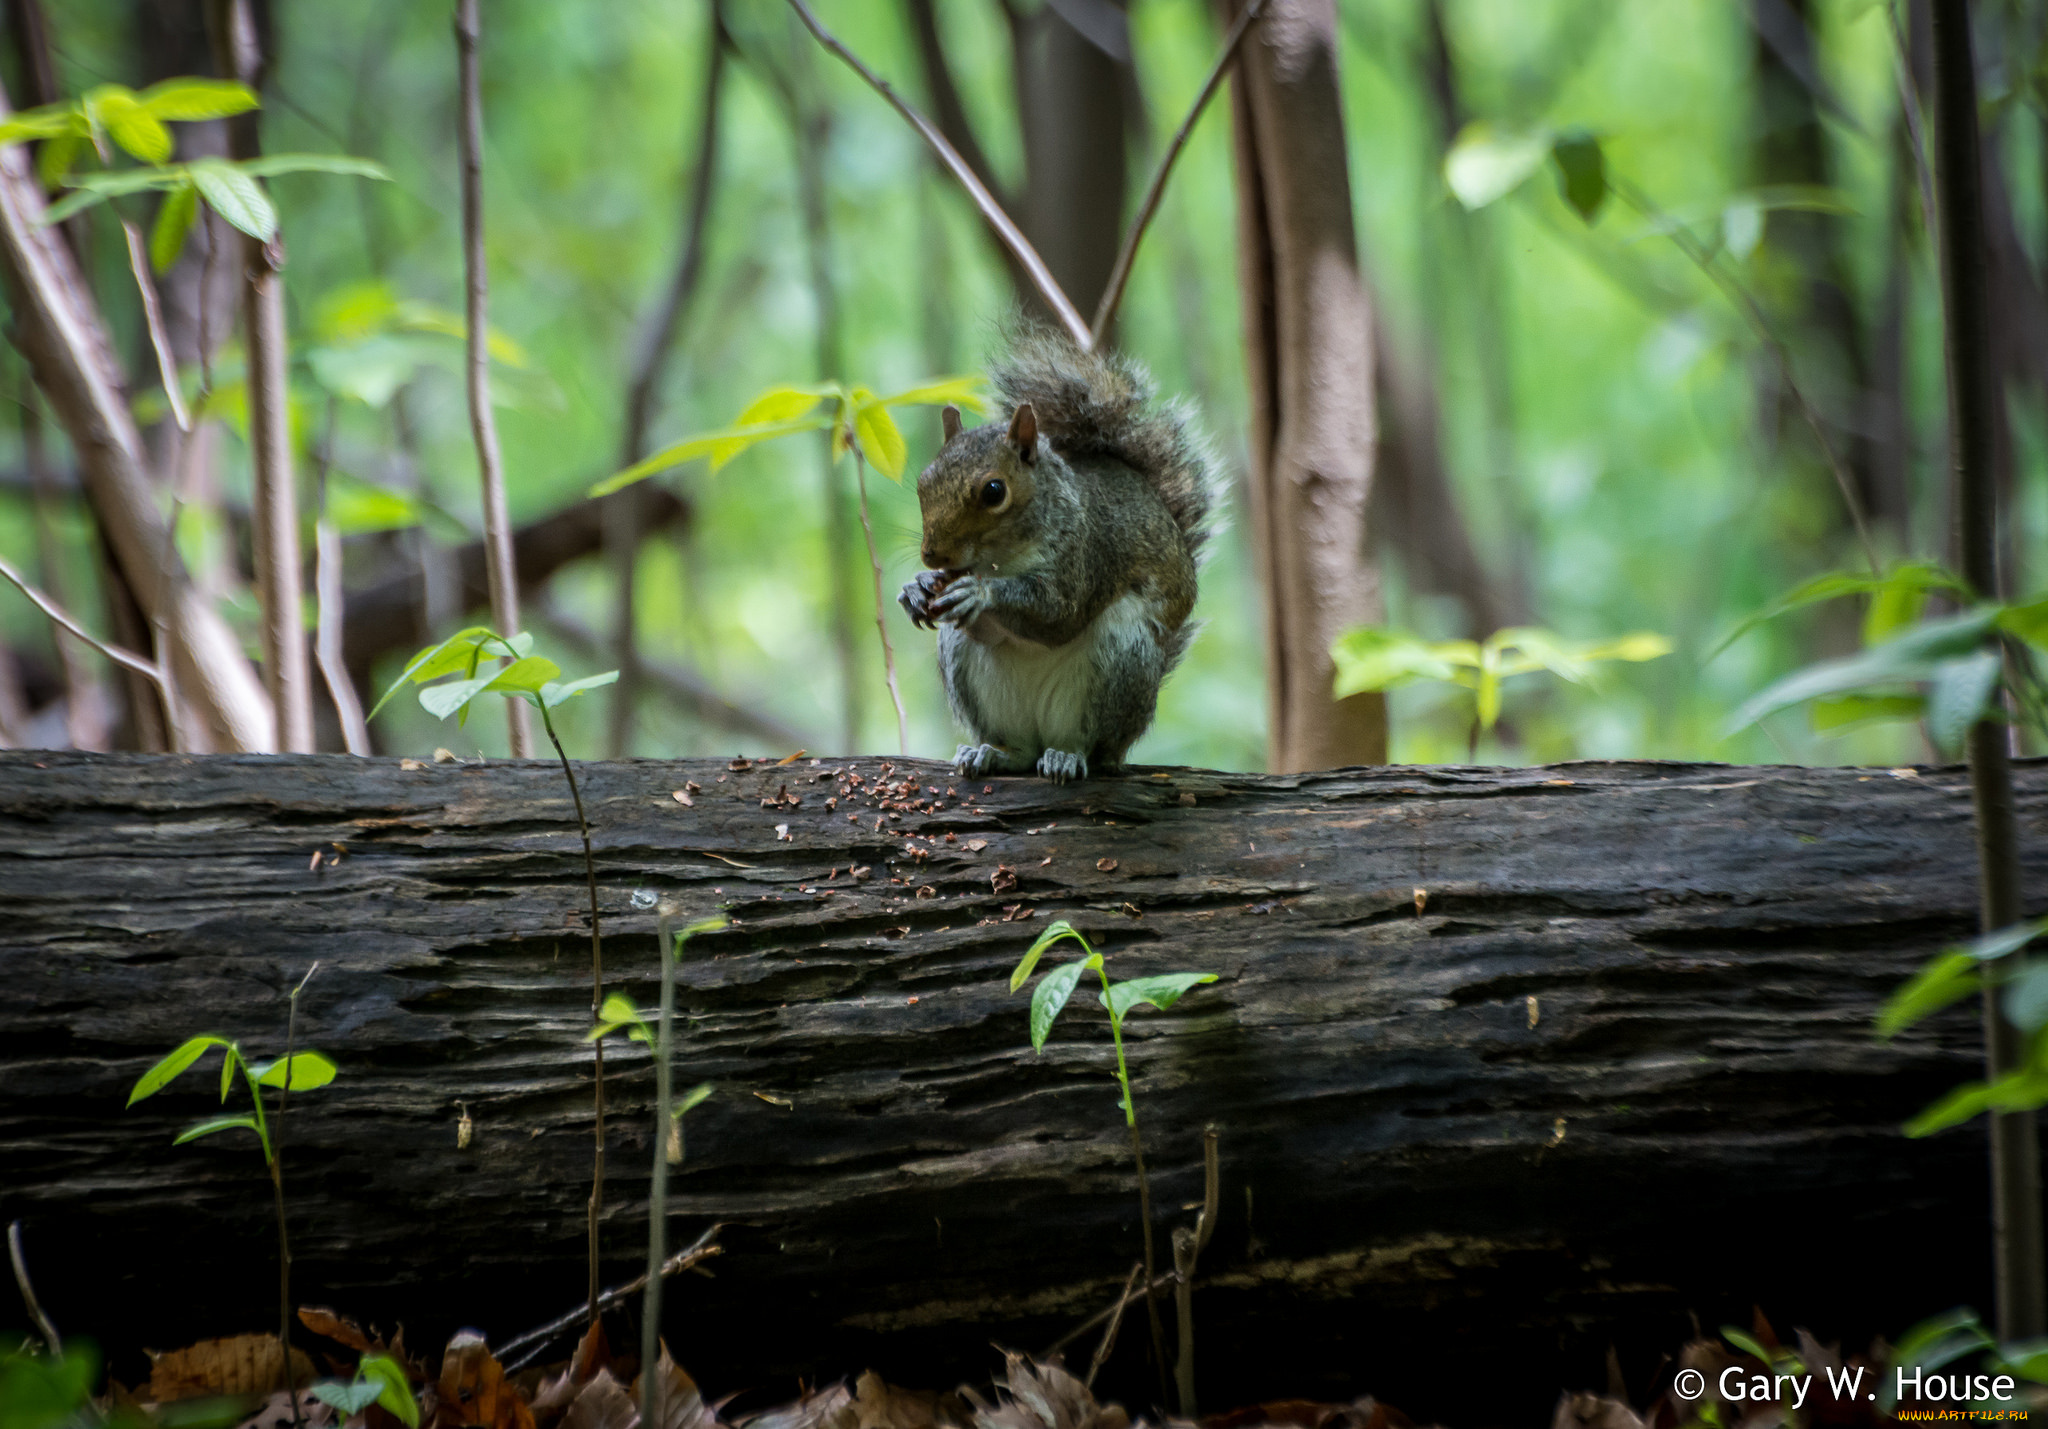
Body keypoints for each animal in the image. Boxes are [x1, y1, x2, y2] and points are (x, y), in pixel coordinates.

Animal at [901, 325, 1212, 777]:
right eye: (924, 481)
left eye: (994, 491)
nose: (933, 556)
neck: (1000, 558)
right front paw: (917, 587)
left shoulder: (1086, 555)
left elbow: (1059, 613)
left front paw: (980, 592)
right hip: (966, 666)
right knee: (1019, 749)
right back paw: (990, 753)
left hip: (1122, 657)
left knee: (1089, 745)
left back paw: (1068, 757)